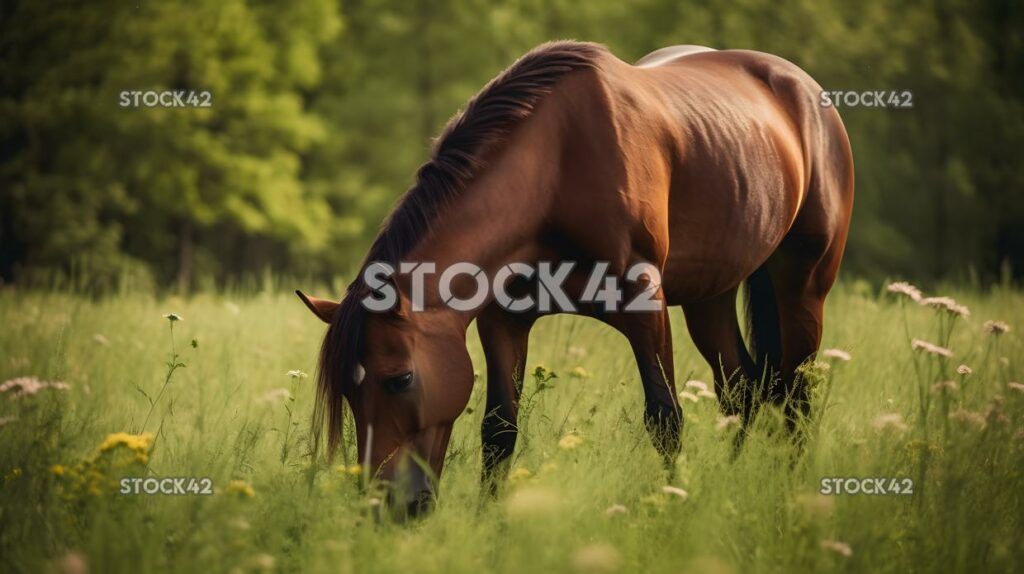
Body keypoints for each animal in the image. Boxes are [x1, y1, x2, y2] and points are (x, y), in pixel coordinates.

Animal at [299, 39, 856, 515]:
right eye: (348, 391)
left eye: (400, 379)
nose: (386, 507)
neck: (557, 169)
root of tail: (801, 89)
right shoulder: (503, 321)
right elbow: (499, 431)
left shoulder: (645, 308)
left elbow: (665, 419)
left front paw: (670, 509)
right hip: (710, 296)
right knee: (741, 392)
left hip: (802, 288)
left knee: (794, 400)